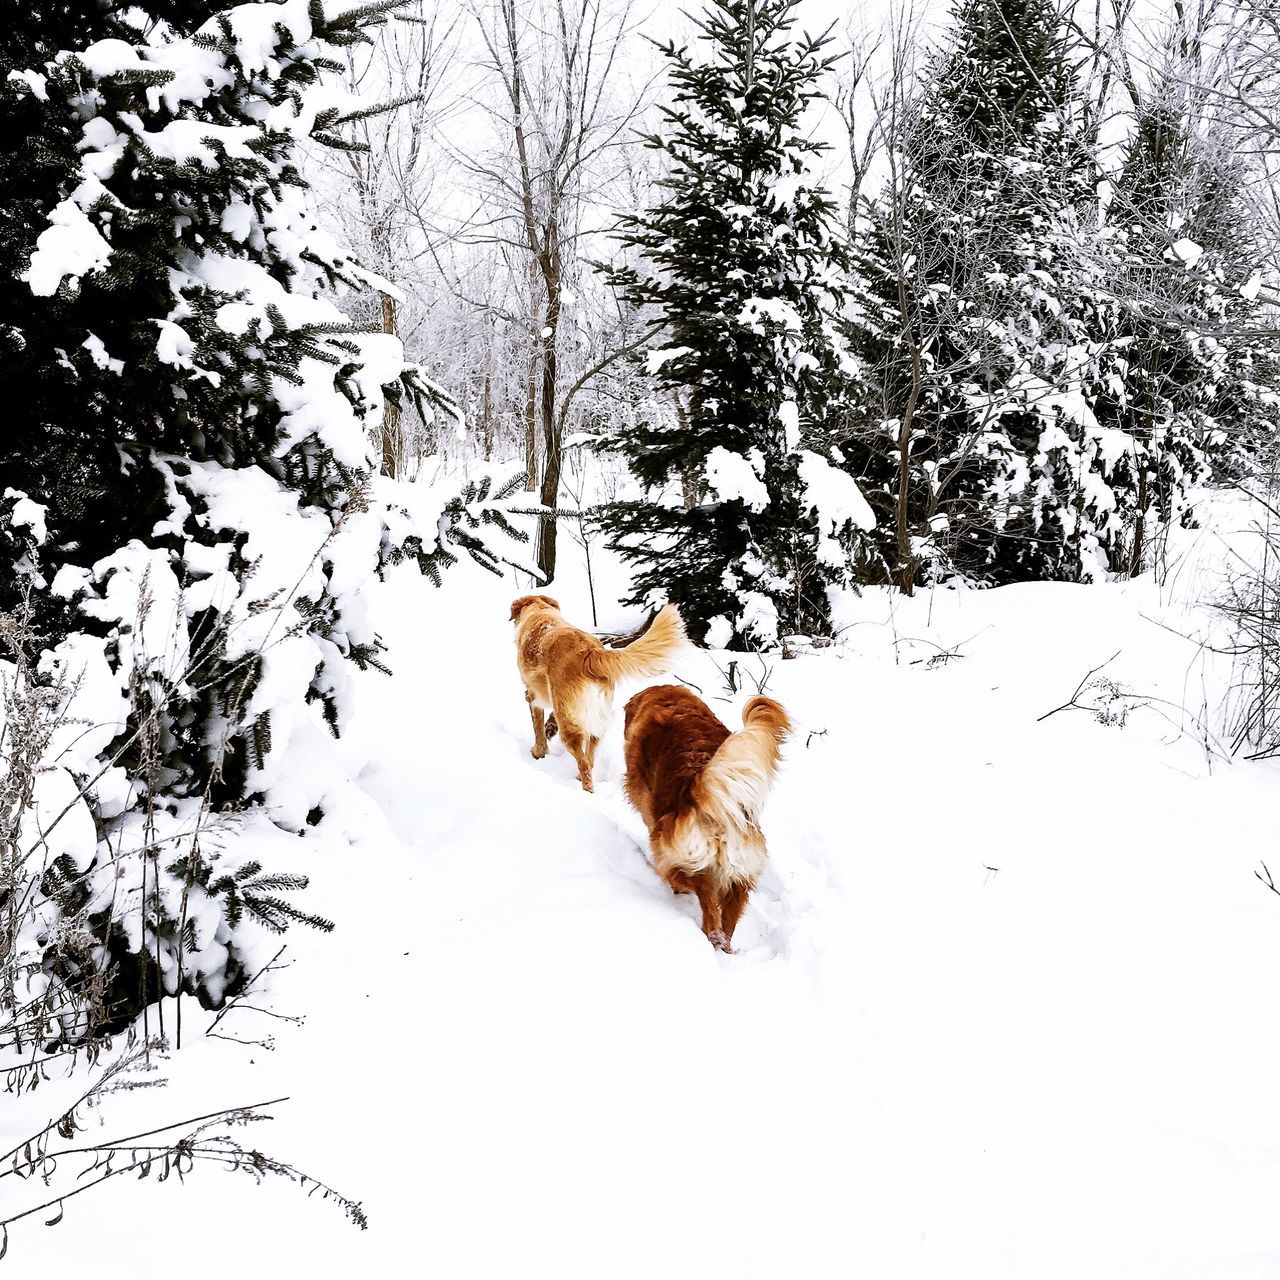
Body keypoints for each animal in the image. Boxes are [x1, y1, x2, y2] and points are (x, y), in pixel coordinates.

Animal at [512, 596, 691, 793]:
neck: (540, 611)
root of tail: (590, 653)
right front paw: (549, 730)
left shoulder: (532, 695)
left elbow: (537, 728)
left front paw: (539, 751)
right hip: (594, 716)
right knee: (589, 758)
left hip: (569, 724)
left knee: (584, 763)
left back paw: (586, 791)